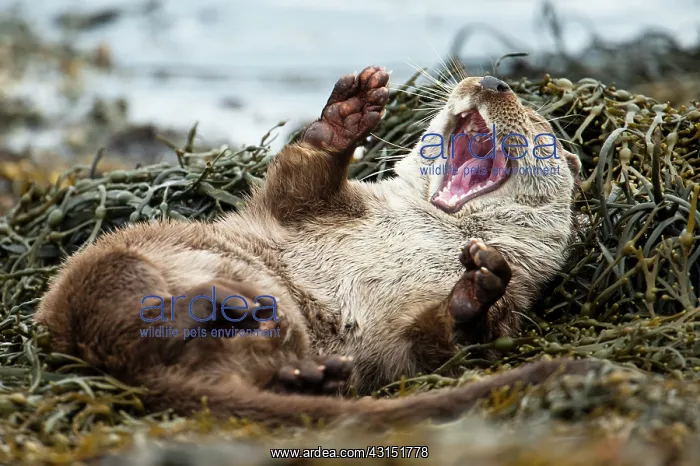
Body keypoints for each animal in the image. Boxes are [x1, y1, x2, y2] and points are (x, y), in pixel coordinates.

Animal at [35, 66, 588, 426]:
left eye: (541, 126)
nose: (493, 82)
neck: (425, 229)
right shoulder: (311, 209)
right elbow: (298, 176)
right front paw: (348, 112)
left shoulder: (436, 335)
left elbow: (448, 345)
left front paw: (477, 288)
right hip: (109, 262)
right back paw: (232, 307)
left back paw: (294, 365)